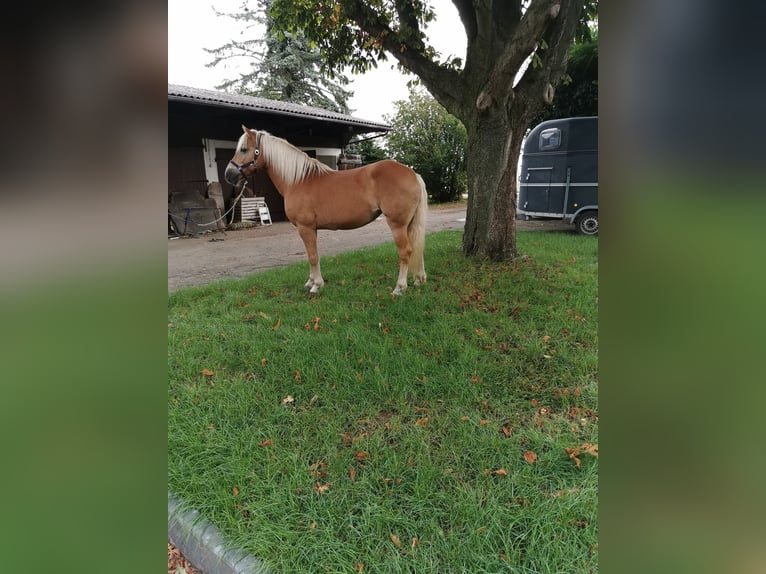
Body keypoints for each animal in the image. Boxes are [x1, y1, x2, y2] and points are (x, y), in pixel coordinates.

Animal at [225, 126, 428, 296]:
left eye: (244, 149)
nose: (228, 174)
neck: (299, 180)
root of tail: (412, 174)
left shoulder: (305, 227)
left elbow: (313, 256)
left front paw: (316, 286)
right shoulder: (311, 229)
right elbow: (311, 255)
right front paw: (310, 281)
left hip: (397, 224)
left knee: (405, 251)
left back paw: (399, 288)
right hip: (409, 224)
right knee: (416, 247)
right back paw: (419, 280)